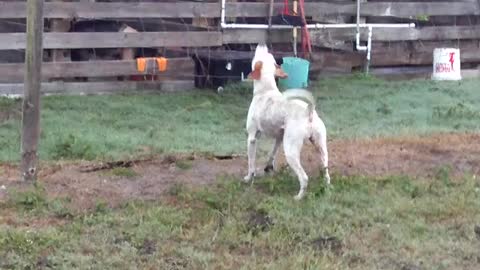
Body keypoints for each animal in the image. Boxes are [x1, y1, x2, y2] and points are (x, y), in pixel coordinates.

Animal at [244, 44, 330, 199]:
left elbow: (251, 162)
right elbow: (272, 154)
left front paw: (249, 178)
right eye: (270, 56)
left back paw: (298, 197)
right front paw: (268, 168)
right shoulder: (279, 138)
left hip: (290, 151)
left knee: (304, 178)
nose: (261, 45)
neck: (266, 90)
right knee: (326, 173)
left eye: (257, 56)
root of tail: (308, 111)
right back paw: (326, 189)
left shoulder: (252, 138)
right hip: (321, 147)